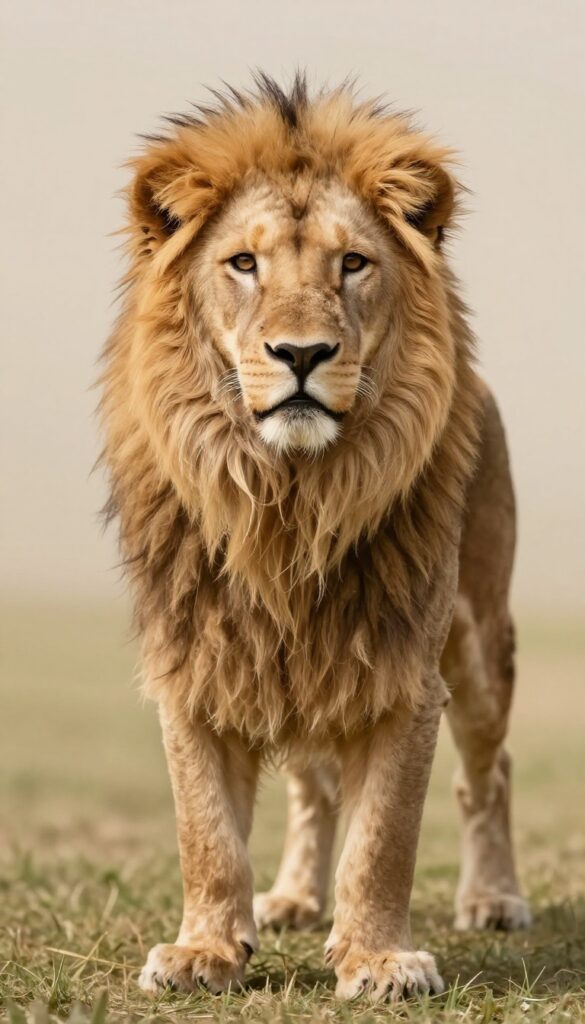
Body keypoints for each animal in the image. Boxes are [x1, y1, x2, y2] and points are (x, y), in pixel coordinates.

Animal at [100, 73, 530, 1001]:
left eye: (352, 263)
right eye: (244, 264)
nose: (301, 353)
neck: (289, 499)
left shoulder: (405, 675)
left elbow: (382, 841)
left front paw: (378, 959)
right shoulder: (203, 659)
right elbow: (206, 834)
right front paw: (204, 949)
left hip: (480, 645)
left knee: (490, 773)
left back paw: (492, 898)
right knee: (313, 789)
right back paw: (295, 897)